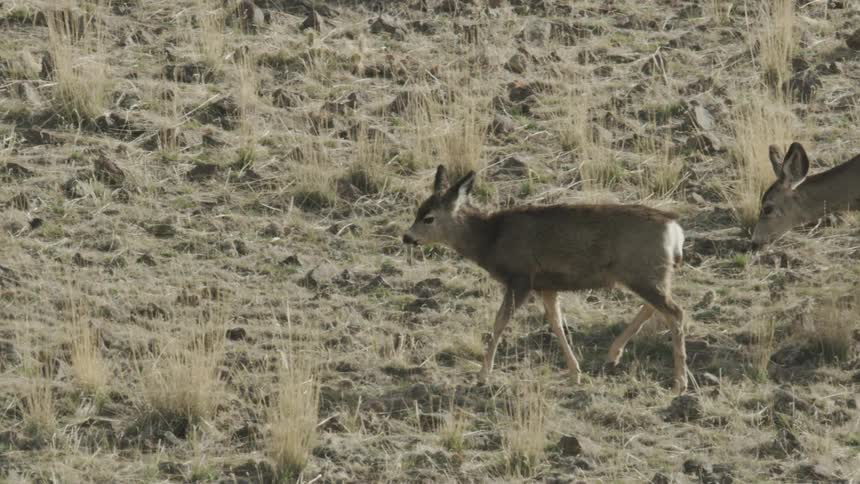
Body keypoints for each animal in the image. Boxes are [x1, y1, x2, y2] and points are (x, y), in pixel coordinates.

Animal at [402, 166, 689, 394]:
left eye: (428, 217)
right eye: (417, 211)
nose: (406, 237)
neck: (491, 239)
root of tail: (674, 228)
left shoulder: (520, 277)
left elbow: (499, 322)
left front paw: (482, 376)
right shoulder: (546, 285)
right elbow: (557, 323)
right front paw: (575, 373)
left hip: (642, 271)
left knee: (675, 312)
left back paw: (679, 383)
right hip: (647, 273)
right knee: (657, 307)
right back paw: (613, 356)